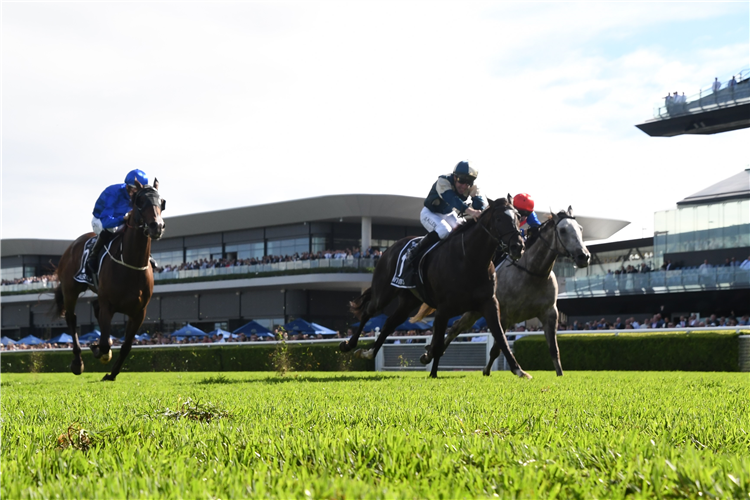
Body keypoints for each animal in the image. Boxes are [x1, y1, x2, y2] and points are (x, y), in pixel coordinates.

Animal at [52, 180, 164, 378]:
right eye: (140, 201)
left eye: (162, 202)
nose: (156, 226)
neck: (131, 265)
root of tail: (72, 245)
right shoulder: (108, 305)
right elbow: (104, 343)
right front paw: (98, 350)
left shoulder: (139, 312)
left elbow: (126, 346)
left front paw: (111, 374)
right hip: (71, 289)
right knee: (71, 318)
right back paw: (77, 362)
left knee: (94, 308)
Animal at [340, 197, 528, 376]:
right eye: (498, 219)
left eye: (518, 217)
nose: (518, 246)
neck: (469, 260)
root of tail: (388, 249)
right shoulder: (444, 308)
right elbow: (437, 343)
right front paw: (433, 374)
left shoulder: (489, 303)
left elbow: (500, 335)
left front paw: (519, 370)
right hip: (384, 292)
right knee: (368, 312)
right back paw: (349, 345)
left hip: (409, 300)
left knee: (389, 323)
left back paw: (369, 353)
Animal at [414, 206, 592, 376]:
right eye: (563, 230)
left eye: (580, 228)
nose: (584, 256)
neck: (532, 273)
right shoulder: (506, 315)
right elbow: (496, 348)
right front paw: (488, 371)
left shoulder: (549, 313)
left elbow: (554, 350)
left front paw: (560, 375)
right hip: (472, 310)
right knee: (455, 328)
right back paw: (429, 354)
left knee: (456, 328)